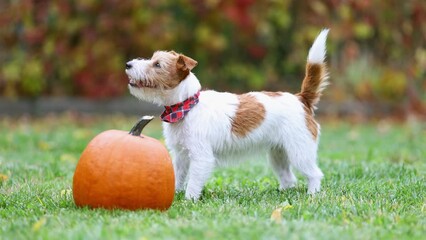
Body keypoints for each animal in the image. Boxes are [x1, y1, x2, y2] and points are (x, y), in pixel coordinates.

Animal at [125, 29, 330, 200]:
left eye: (157, 64)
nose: (128, 64)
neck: (187, 105)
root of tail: (301, 99)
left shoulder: (201, 157)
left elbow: (193, 183)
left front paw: (189, 200)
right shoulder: (181, 156)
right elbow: (177, 176)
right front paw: (173, 194)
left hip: (300, 152)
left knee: (315, 174)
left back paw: (312, 194)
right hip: (278, 154)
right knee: (289, 178)